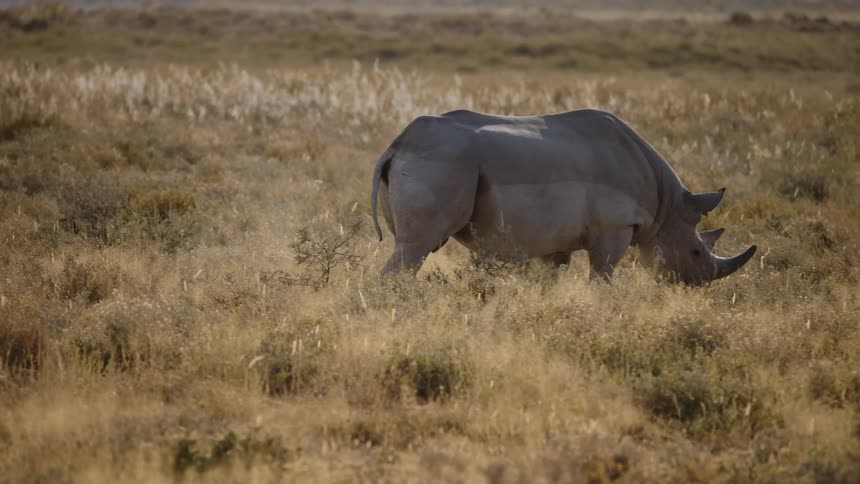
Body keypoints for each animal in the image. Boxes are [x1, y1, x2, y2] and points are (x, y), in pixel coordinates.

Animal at [371, 109, 756, 285]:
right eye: (695, 252)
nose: (697, 285)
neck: (667, 208)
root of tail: (396, 145)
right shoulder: (615, 224)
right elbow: (602, 274)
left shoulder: (554, 238)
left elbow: (550, 279)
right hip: (442, 162)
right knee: (416, 248)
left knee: (410, 246)